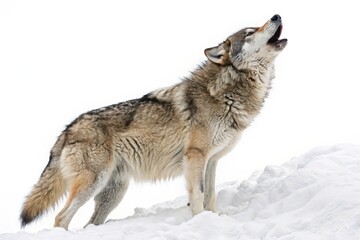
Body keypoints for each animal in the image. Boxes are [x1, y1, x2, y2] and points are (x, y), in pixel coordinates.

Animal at [21, 13, 288, 229]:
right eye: (250, 33)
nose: (276, 15)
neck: (226, 90)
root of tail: (66, 131)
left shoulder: (211, 160)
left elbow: (210, 193)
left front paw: (213, 217)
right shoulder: (195, 156)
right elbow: (198, 194)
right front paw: (199, 220)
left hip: (113, 193)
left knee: (90, 223)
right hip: (92, 183)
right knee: (61, 218)